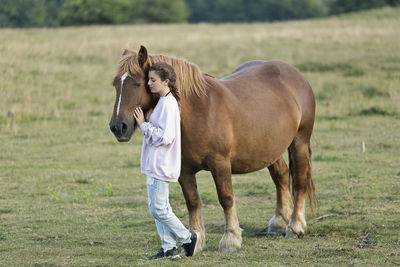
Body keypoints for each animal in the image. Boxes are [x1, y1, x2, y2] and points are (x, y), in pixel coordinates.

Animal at [109, 45, 316, 253]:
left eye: (137, 83)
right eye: (115, 84)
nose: (118, 127)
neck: (198, 112)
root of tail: (295, 75)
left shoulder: (220, 163)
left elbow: (226, 197)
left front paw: (231, 239)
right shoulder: (184, 169)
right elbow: (192, 201)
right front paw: (195, 240)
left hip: (299, 141)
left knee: (299, 181)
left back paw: (295, 226)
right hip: (269, 149)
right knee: (281, 176)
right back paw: (279, 223)